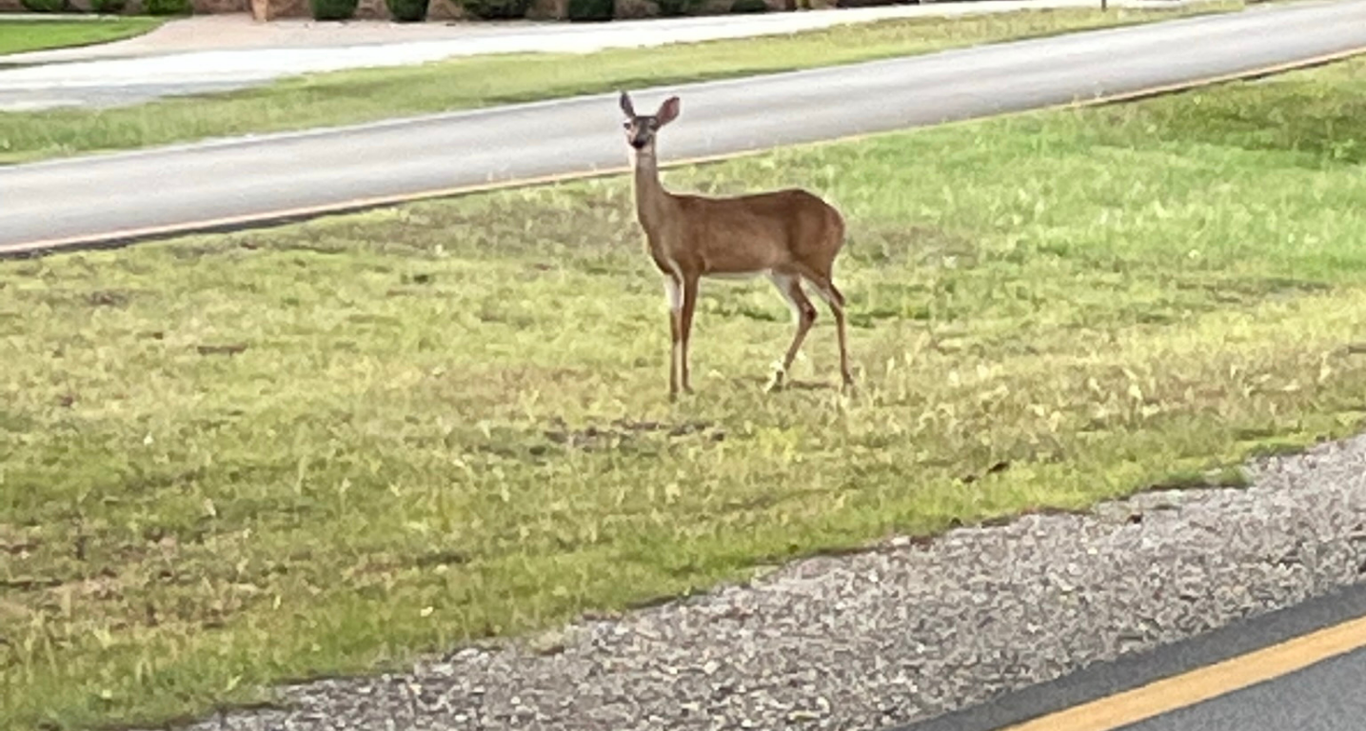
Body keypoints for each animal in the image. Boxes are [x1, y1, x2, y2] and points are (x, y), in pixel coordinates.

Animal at [617, 90, 854, 399]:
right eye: (627, 124)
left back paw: (846, 378)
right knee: (808, 311)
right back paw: (775, 380)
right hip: (783, 271)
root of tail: (838, 218)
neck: (667, 217)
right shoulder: (667, 272)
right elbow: (674, 328)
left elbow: (686, 324)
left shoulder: (692, 265)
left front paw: (686, 385)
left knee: (837, 301)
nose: (638, 141)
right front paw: (670, 389)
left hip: (816, 260)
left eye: (654, 125)